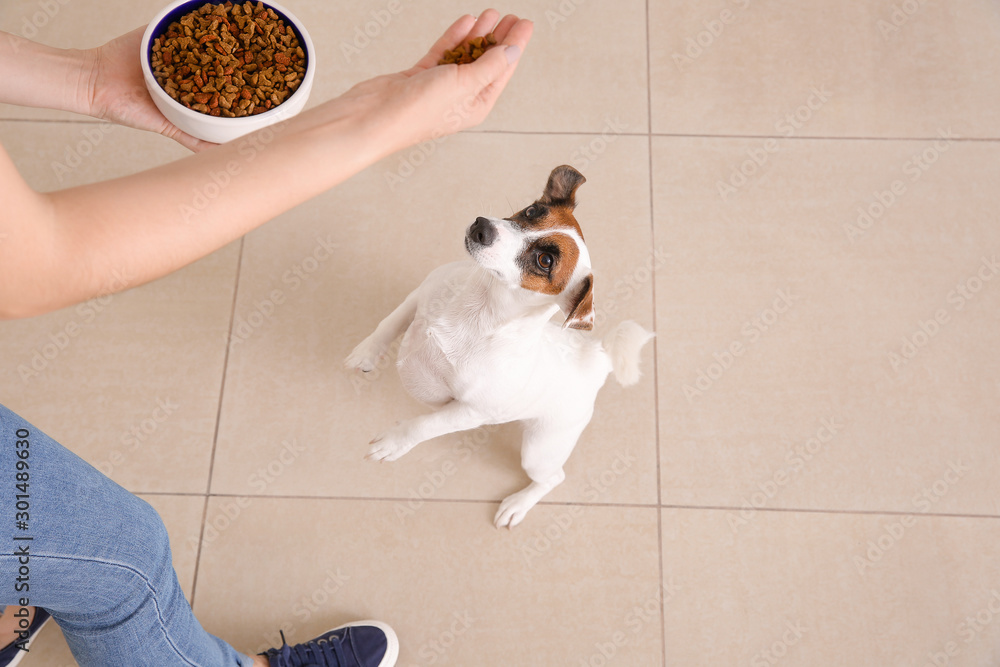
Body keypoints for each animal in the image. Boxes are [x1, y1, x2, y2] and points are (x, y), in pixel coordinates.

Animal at [346, 166, 656, 528]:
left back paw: (518, 504)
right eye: (532, 211)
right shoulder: (418, 296)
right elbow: (388, 323)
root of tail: (597, 356)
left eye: (545, 260)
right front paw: (366, 352)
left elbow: (424, 425)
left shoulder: (469, 411)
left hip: (540, 450)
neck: (480, 308)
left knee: (553, 478)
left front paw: (395, 442)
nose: (482, 226)